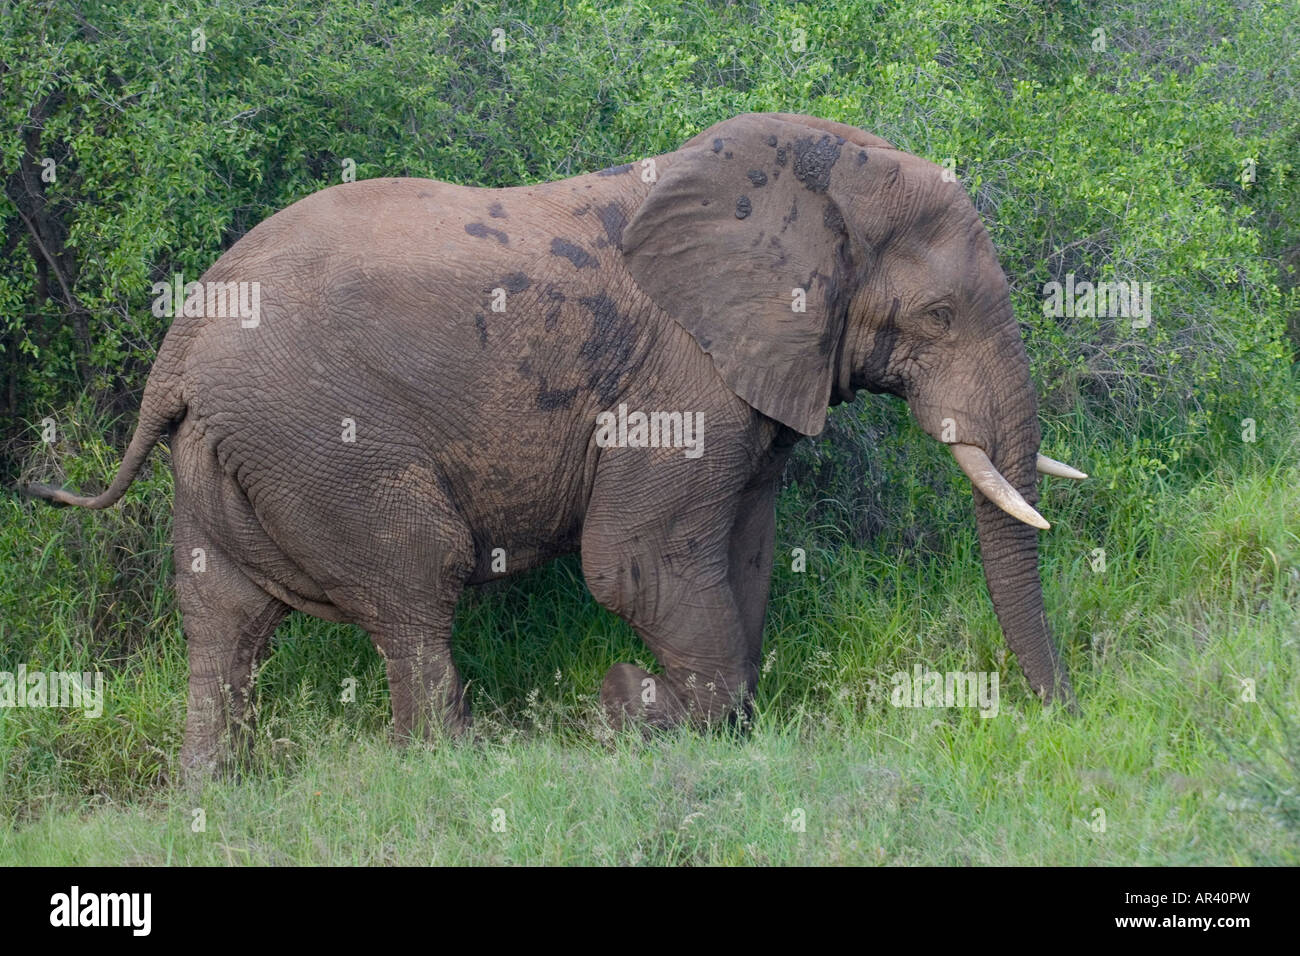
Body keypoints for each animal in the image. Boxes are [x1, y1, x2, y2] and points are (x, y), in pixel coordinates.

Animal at [27, 112, 1086, 774]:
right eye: (939, 317)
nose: (1067, 717)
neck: (805, 173)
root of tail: (175, 355)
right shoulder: (681, 376)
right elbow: (639, 566)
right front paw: (633, 708)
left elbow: (743, 555)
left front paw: (692, 719)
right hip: (319, 441)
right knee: (417, 582)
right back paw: (448, 772)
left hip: (222, 453)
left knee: (222, 623)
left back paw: (215, 794)